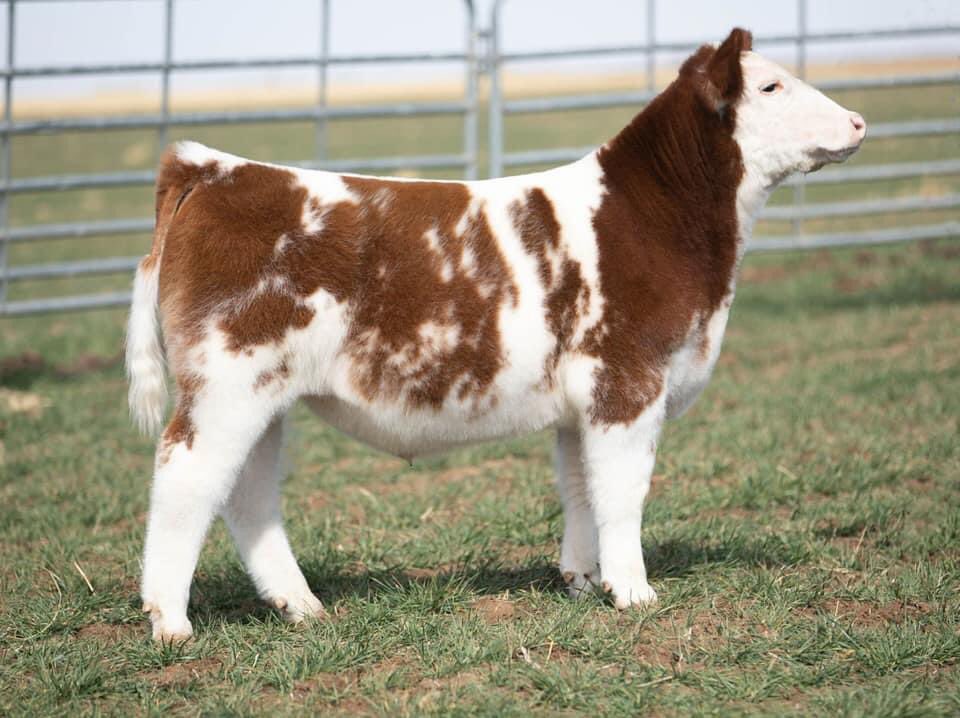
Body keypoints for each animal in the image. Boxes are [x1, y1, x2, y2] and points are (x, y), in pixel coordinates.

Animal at [125, 28, 865, 641]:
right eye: (770, 87)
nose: (859, 120)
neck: (654, 221)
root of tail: (215, 168)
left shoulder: (581, 402)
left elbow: (580, 486)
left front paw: (584, 579)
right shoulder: (626, 380)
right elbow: (623, 490)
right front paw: (634, 592)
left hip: (264, 392)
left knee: (247, 491)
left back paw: (300, 605)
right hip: (229, 379)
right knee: (186, 477)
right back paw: (170, 622)